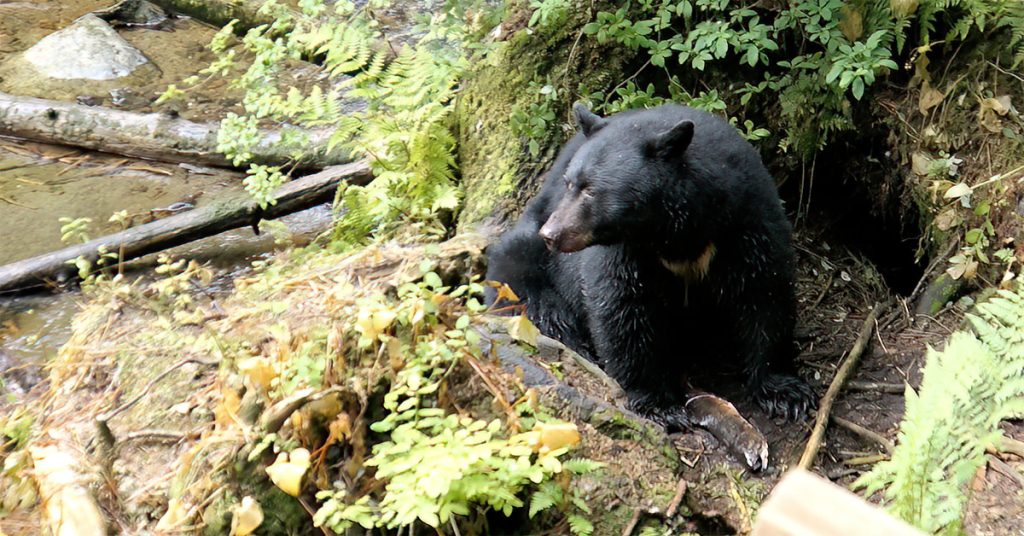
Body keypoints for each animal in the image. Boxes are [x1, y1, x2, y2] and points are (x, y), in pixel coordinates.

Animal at [485, 103, 815, 430]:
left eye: (591, 190)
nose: (552, 234)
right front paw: (660, 405)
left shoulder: (746, 221)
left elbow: (765, 291)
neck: (673, 231)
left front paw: (786, 393)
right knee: (536, 306)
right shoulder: (626, 251)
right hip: (522, 259)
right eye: (569, 184)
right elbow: (622, 310)